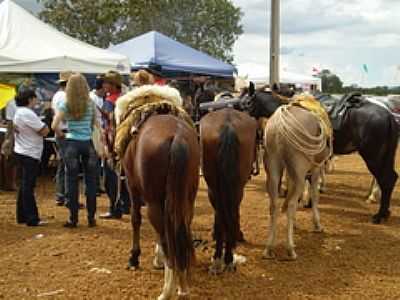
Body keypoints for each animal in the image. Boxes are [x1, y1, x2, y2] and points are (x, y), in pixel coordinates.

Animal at [122, 113, 199, 298]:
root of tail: (177, 137)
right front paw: (158, 259)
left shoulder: (131, 186)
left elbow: (135, 219)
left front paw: (134, 258)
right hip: (186, 199)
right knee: (178, 230)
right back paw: (182, 282)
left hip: (153, 202)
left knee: (165, 237)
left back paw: (168, 289)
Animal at [200, 108, 256, 274]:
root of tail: (228, 125)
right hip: (235, 188)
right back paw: (228, 258)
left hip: (213, 188)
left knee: (220, 215)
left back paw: (219, 257)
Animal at [242, 83, 398, 224]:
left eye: (246, 103)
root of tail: (389, 116)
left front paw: (302, 200)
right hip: (384, 155)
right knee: (390, 178)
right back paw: (383, 210)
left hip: (373, 156)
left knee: (385, 179)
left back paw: (379, 214)